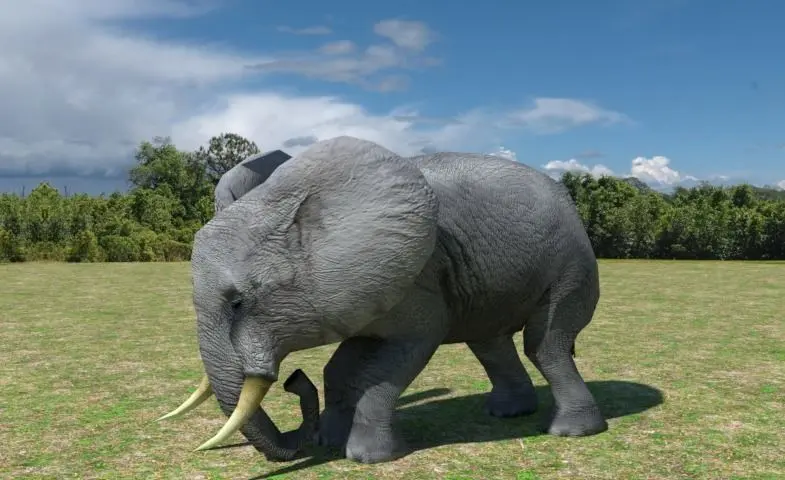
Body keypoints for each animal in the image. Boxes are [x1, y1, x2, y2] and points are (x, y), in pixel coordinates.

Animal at [158, 136, 608, 465]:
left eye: (237, 302)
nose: (293, 379)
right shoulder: (360, 291)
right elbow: (341, 365)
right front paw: (329, 442)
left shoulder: (418, 278)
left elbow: (397, 358)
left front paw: (367, 457)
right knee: (489, 343)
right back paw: (508, 413)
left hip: (571, 266)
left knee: (544, 344)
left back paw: (571, 431)